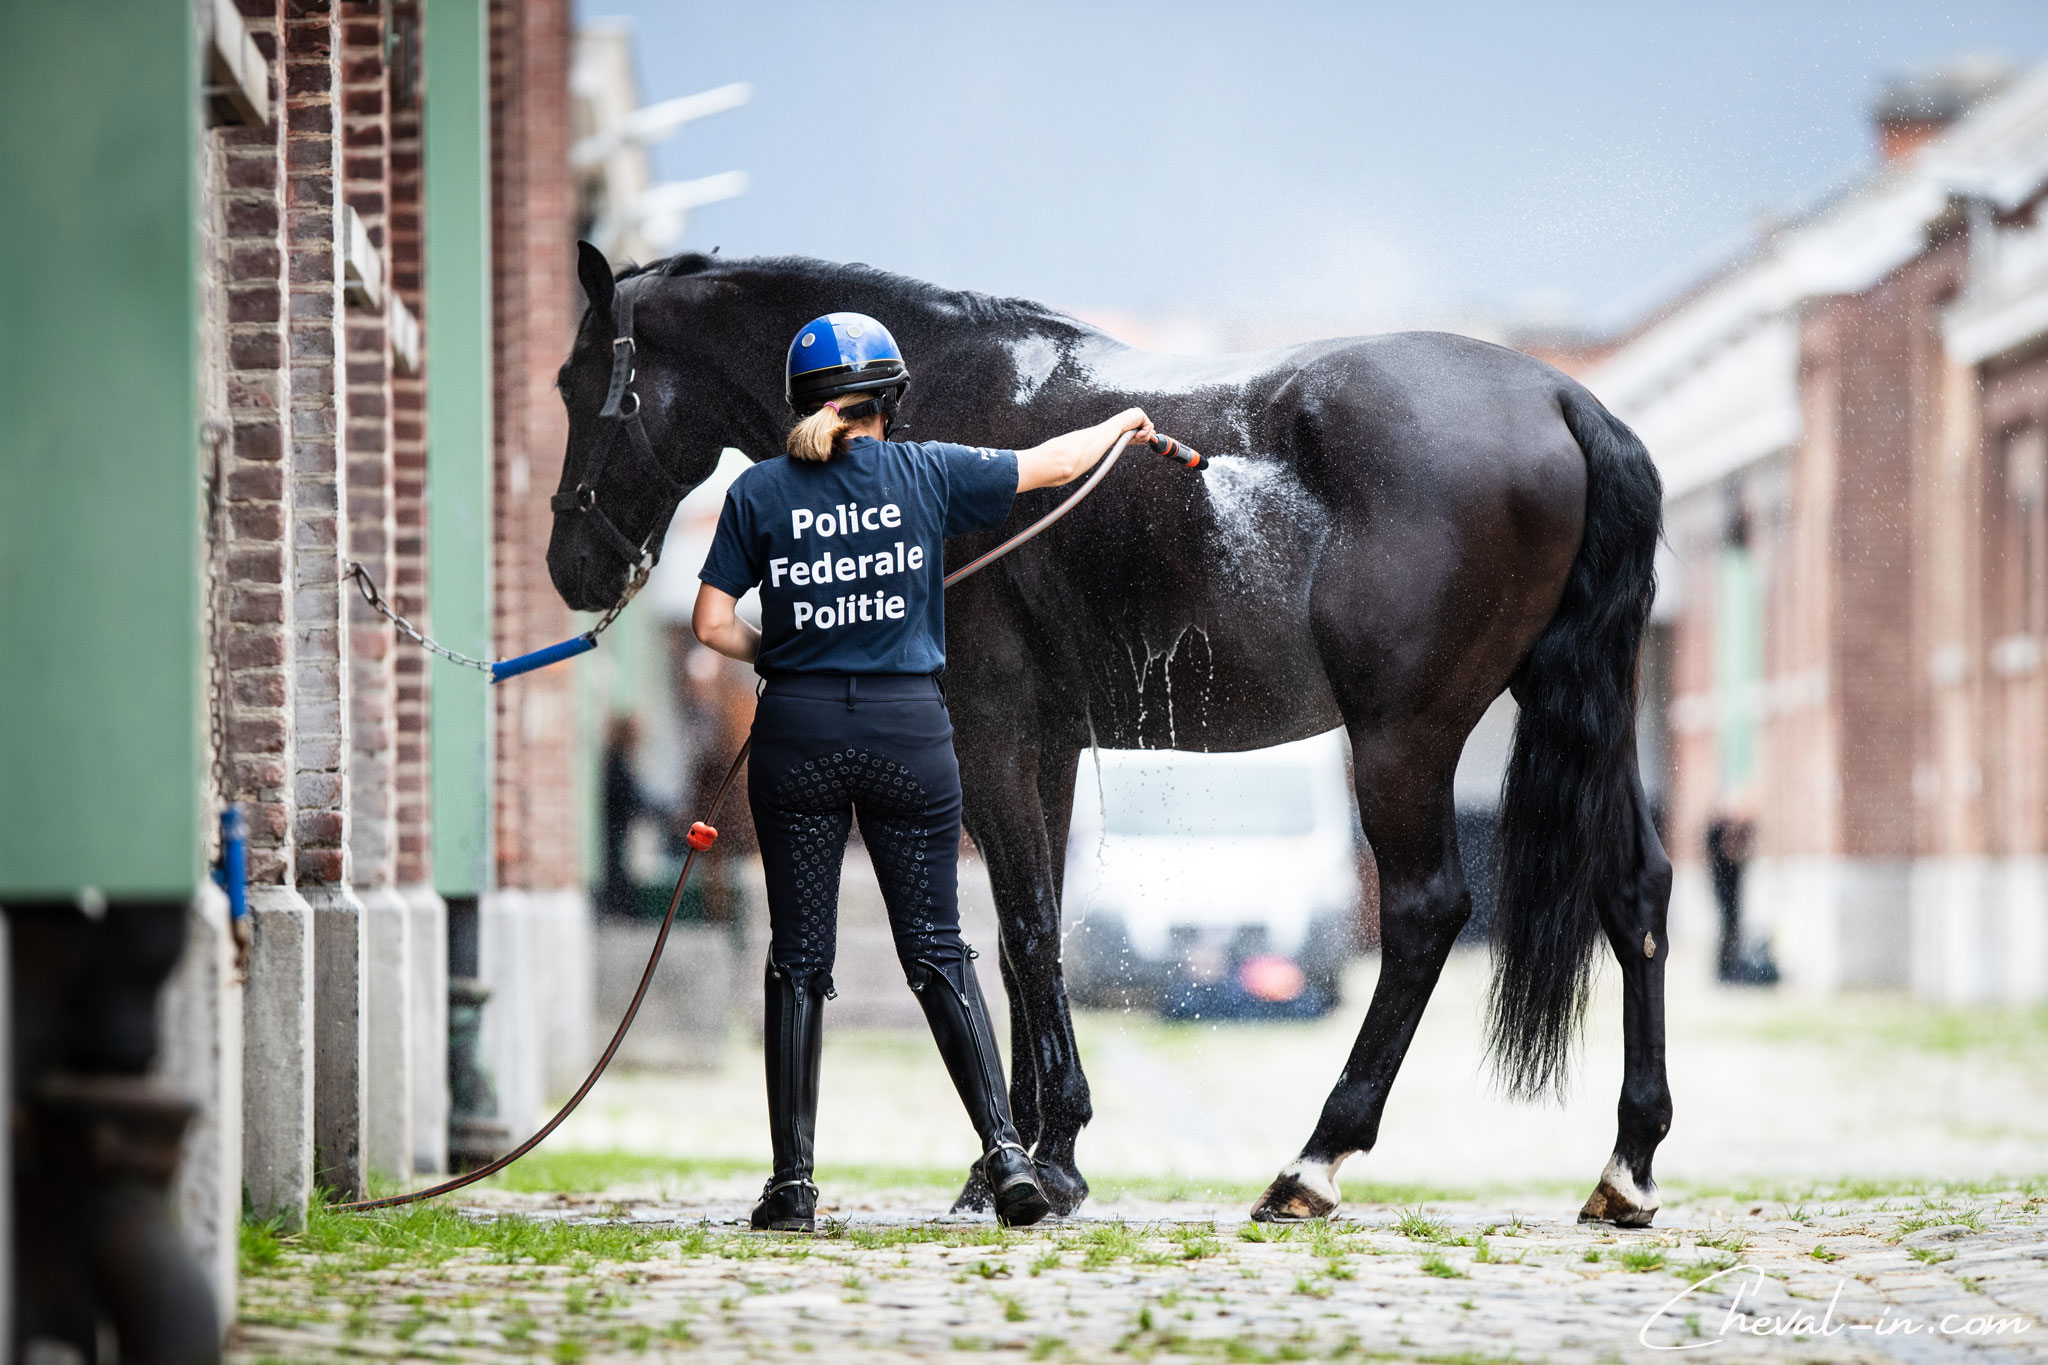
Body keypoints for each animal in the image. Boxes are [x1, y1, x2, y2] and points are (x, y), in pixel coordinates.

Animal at [547, 242, 1671, 1226]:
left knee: (1425, 912)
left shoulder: (990, 735)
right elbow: (1020, 937)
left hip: (1404, 736)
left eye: (571, 382)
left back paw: (1310, 1164)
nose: (571, 566)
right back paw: (1627, 1166)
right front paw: (1024, 1159)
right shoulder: (1044, 747)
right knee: (1635, 891)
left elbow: (1025, 929)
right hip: (1587, 712)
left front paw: (1044, 1167)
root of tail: (1563, 402)